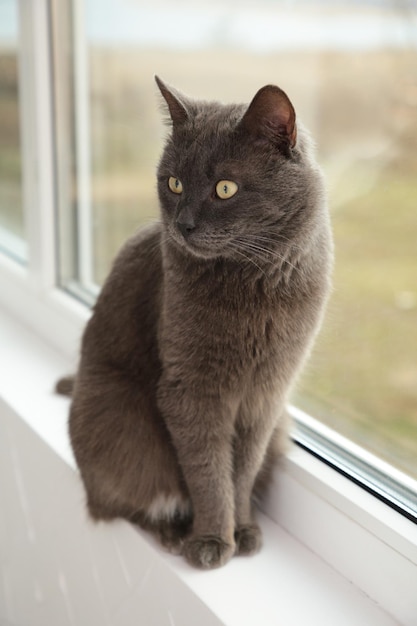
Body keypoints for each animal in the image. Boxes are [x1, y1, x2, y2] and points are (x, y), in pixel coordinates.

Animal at [58, 75, 332, 568]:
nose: (183, 224)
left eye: (225, 188)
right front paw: (211, 540)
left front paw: (242, 529)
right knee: (116, 501)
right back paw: (171, 531)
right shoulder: (191, 390)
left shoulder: (267, 396)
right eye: (174, 183)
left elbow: (242, 471)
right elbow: (207, 472)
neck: (253, 283)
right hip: (116, 417)